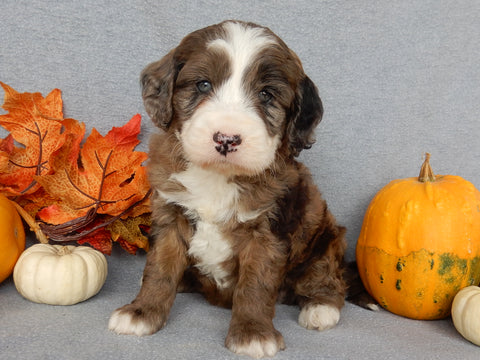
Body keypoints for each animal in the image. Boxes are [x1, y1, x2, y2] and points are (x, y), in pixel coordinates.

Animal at [109, 21, 344, 358]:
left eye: (266, 94)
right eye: (203, 85)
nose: (227, 139)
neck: (218, 176)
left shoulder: (268, 231)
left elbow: (255, 284)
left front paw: (252, 333)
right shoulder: (170, 215)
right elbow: (159, 269)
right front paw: (142, 312)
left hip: (325, 234)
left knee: (325, 274)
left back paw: (321, 307)